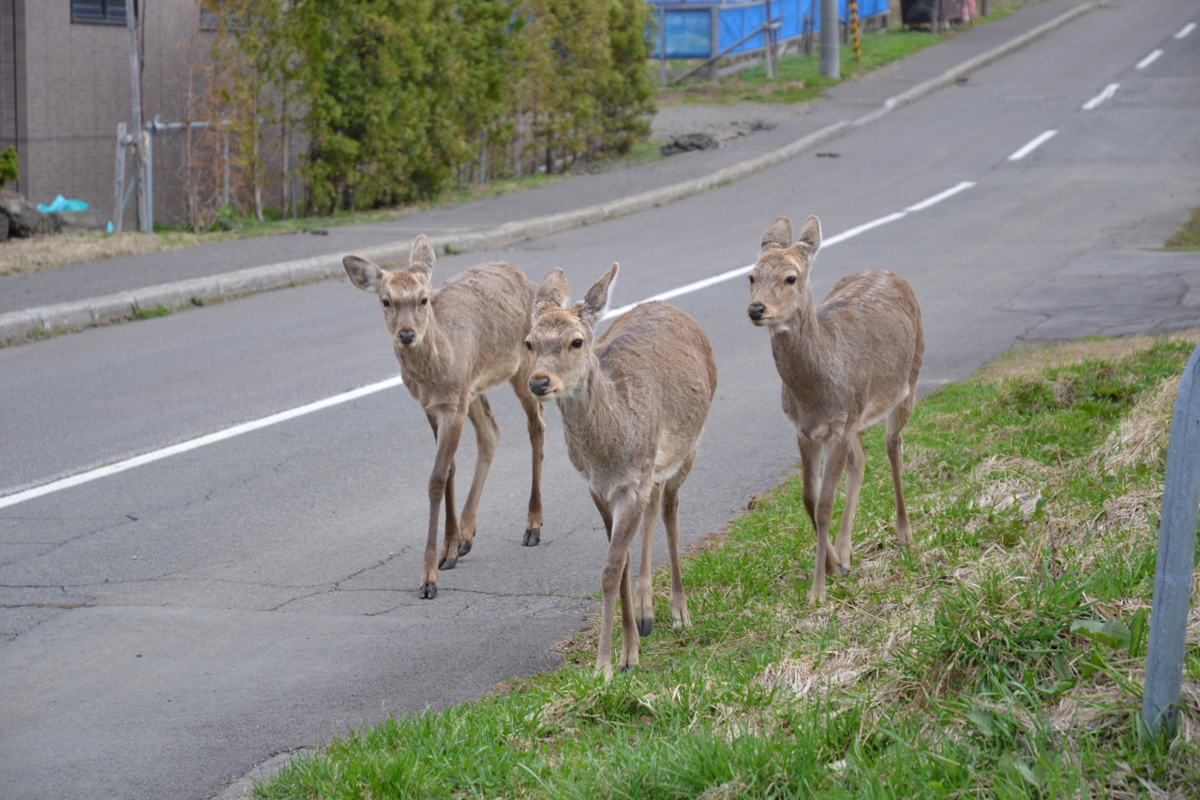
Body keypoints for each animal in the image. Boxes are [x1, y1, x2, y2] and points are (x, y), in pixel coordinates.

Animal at [345, 236, 547, 599]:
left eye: (423, 298)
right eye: (386, 301)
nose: (407, 334)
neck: (435, 373)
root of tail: (519, 273)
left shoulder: (453, 405)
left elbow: (437, 478)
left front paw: (428, 578)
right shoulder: (433, 406)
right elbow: (450, 468)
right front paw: (448, 548)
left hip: (523, 364)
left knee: (536, 426)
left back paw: (533, 525)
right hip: (475, 387)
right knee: (491, 433)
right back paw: (467, 534)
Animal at [525, 266, 710, 681]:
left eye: (576, 341)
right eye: (528, 342)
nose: (539, 382)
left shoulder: (633, 481)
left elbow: (610, 569)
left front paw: (606, 665)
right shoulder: (599, 488)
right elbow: (620, 563)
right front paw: (629, 651)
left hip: (688, 447)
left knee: (670, 507)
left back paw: (679, 610)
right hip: (653, 469)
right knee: (655, 506)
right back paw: (646, 610)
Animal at [744, 215, 921, 604]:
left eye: (791, 277)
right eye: (751, 276)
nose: (756, 309)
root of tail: (887, 271)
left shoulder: (841, 422)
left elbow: (825, 503)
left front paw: (817, 590)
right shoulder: (805, 429)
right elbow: (809, 499)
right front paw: (833, 565)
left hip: (908, 382)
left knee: (893, 447)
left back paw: (904, 533)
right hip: (858, 414)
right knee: (861, 460)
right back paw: (846, 551)